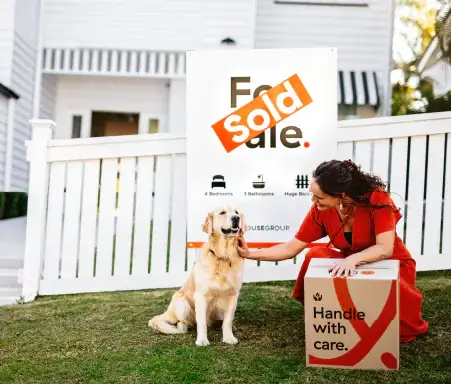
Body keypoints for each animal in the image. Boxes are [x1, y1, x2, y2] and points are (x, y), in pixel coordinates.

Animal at [148, 206, 247, 346]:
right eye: (222, 212)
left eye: (237, 212)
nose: (236, 218)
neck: (224, 256)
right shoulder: (201, 295)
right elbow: (201, 323)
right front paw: (202, 340)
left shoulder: (233, 294)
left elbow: (228, 320)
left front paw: (228, 337)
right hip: (182, 303)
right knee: (183, 322)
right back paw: (183, 326)